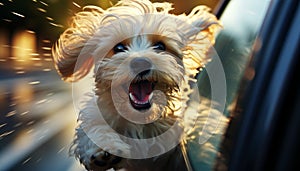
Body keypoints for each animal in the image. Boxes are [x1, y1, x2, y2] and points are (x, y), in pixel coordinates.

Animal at [51, 0, 226, 170]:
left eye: (160, 46)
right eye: (119, 47)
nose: (140, 62)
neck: (139, 119)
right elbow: (91, 129)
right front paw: (102, 149)